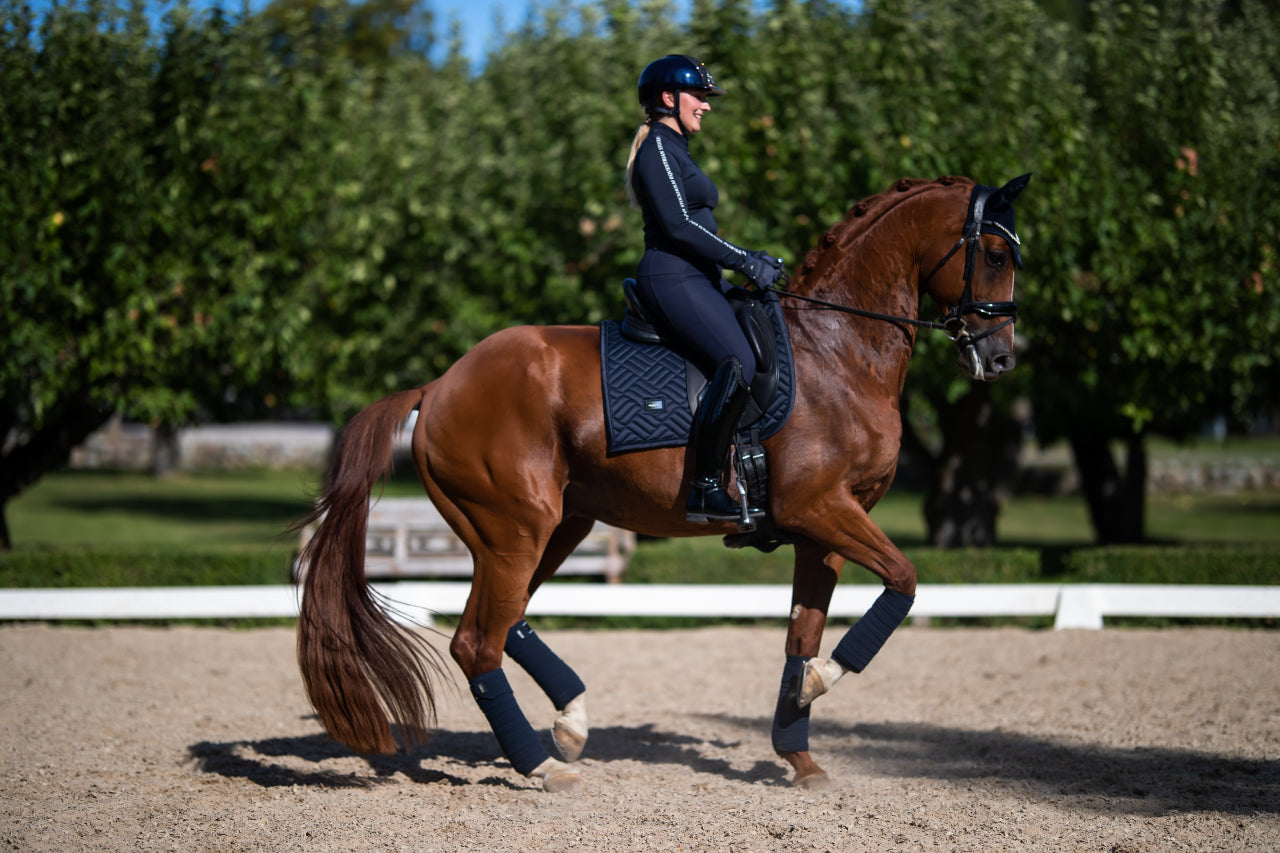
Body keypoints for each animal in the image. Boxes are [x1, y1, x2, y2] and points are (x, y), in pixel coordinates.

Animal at [293, 171, 1029, 788]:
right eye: (995, 255)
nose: (999, 359)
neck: (838, 350)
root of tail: (441, 384)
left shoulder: (823, 531)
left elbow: (802, 635)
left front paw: (799, 749)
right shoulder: (819, 508)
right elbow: (904, 578)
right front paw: (821, 684)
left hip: (554, 526)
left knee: (503, 624)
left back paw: (571, 721)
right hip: (515, 529)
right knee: (478, 642)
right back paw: (543, 766)